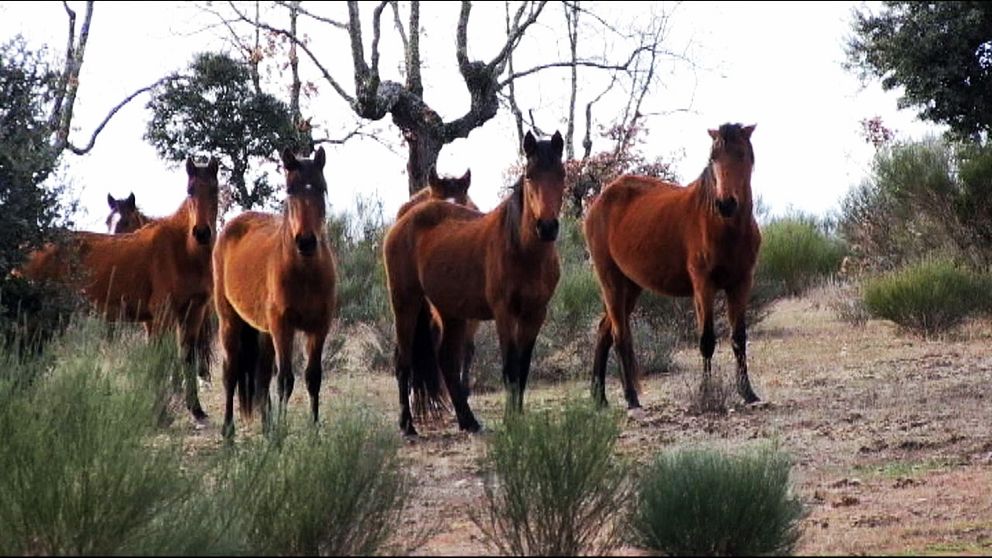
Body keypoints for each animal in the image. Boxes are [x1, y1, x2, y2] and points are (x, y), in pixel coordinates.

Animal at [21, 156, 220, 420]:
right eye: (190, 190)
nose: (202, 233)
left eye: (214, 190)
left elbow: (186, 357)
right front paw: (160, 410)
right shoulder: (161, 315)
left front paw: (196, 409)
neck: (182, 249)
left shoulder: (192, 313)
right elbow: (160, 359)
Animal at [213, 147, 338, 440]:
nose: (306, 241)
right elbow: (285, 381)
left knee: (260, 379)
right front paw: (282, 433)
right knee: (230, 373)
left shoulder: (319, 327)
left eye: (321, 188)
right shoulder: (284, 326)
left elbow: (313, 378)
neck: (305, 272)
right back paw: (229, 432)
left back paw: (267, 429)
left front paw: (313, 433)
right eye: (290, 190)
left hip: (265, 332)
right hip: (230, 322)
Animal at [382, 131, 564, 438]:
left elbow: (523, 367)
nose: (547, 226)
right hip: (406, 304)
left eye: (561, 174)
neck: (522, 249)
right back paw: (407, 425)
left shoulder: (535, 313)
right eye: (529, 175)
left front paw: (518, 415)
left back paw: (468, 420)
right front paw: (511, 420)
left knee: (446, 360)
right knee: (403, 361)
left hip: (451, 313)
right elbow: (510, 367)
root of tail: (403, 221)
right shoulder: (504, 313)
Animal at [584, 123, 764, 412]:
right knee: (619, 334)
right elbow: (707, 341)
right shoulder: (703, 285)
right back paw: (631, 398)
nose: (726, 203)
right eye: (713, 158)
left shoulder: (741, 283)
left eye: (742, 155)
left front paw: (747, 392)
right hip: (610, 280)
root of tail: (599, 200)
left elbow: (739, 338)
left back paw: (599, 397)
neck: (724, 227)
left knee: (604, 331)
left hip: (631, 286)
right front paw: (706, 393)